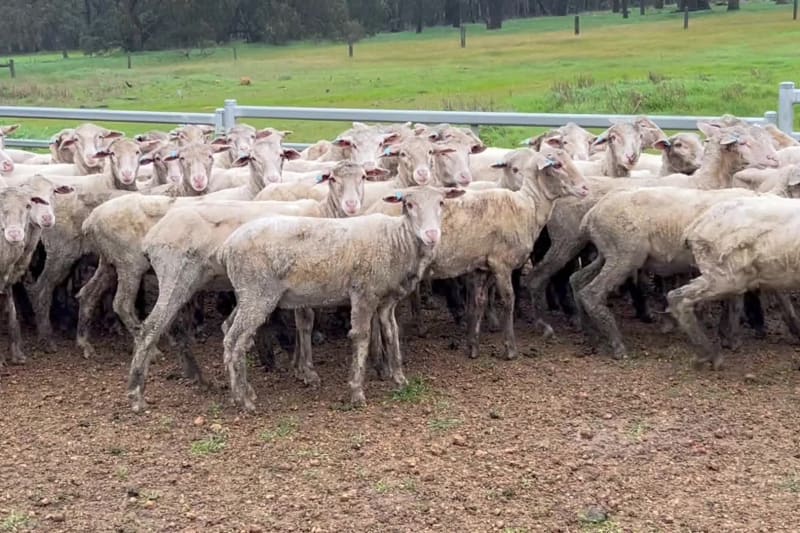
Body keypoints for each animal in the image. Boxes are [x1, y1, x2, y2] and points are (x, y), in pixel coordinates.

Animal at [125, 161, 377, 411]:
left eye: (363, 177)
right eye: (333, 179)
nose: (351, 205)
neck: (325, 214)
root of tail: (153, 236)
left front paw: (298, 366)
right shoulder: (304, 281)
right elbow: (305, 323)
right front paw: (306, 370)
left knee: (172, 328)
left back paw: (198, 378)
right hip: (176, 275)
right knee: (151, 328)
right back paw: (137, 393)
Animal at [216, 185, 466, 411]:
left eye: (441, 203)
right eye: (409, 204)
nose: (432, 235)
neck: (396, 240)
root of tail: (227, 246)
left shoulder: (387, 301)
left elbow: (391, 333)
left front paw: (400, 379)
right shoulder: (363, 293)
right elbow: (361, 337)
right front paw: (357, 391)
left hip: (247, 294)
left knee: (227, 328)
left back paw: (241, 392)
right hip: (258, 293)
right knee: (235, 340)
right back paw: (244, 400)